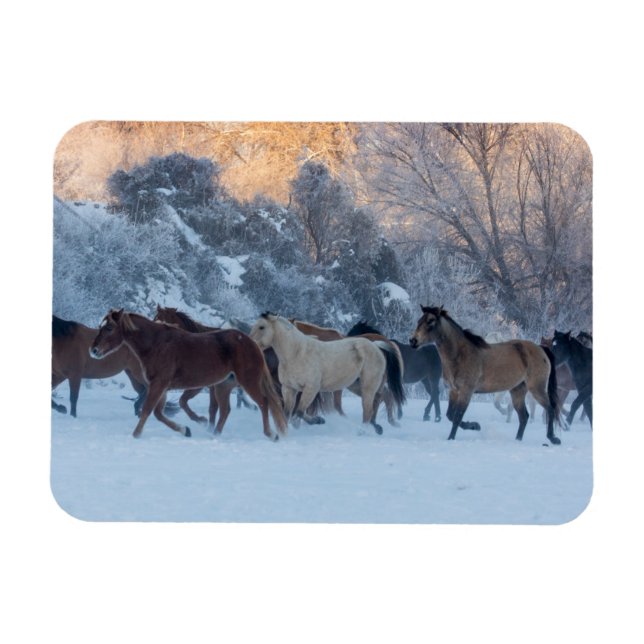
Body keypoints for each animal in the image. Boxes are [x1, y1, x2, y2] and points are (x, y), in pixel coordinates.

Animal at [90, 309, 287, 440]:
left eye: (109, 328)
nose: (93, 350)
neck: (157, 344)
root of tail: (252, 343)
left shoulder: (159, 384)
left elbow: (148, 410)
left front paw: (136, 435)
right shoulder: (162, 387)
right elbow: (159, 413)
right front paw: (185, 429)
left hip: (248, 381)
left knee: (263, 403)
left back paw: (271, 434)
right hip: (223, 386)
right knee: (225, 410)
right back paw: (214, 435)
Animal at [250, 313, 405, 434]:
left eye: (262, 327)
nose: (252, 343)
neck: (297, 353)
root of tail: (376, 345)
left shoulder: (311, 388)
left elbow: (299, 412)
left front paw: (318, 420)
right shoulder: (289, 388)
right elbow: (287, 413)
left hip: (368, 387)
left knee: (368, 410)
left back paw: (363, 431)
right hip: (359, 386)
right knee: (378, 400)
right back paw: (378, 427)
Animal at [410, 306, 560, 444]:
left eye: (431, 321)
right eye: (419, 321)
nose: (413, 341)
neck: (460, 355)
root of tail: (541, 349)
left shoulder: (466, 391)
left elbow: (457, 416)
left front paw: (452, 438)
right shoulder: (454, 391)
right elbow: (450, 415)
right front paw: (474, 426)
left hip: (536, 388)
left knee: (550, 409)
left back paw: (553, 438)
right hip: (517, 390)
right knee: (524, 417)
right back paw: (518, 440)